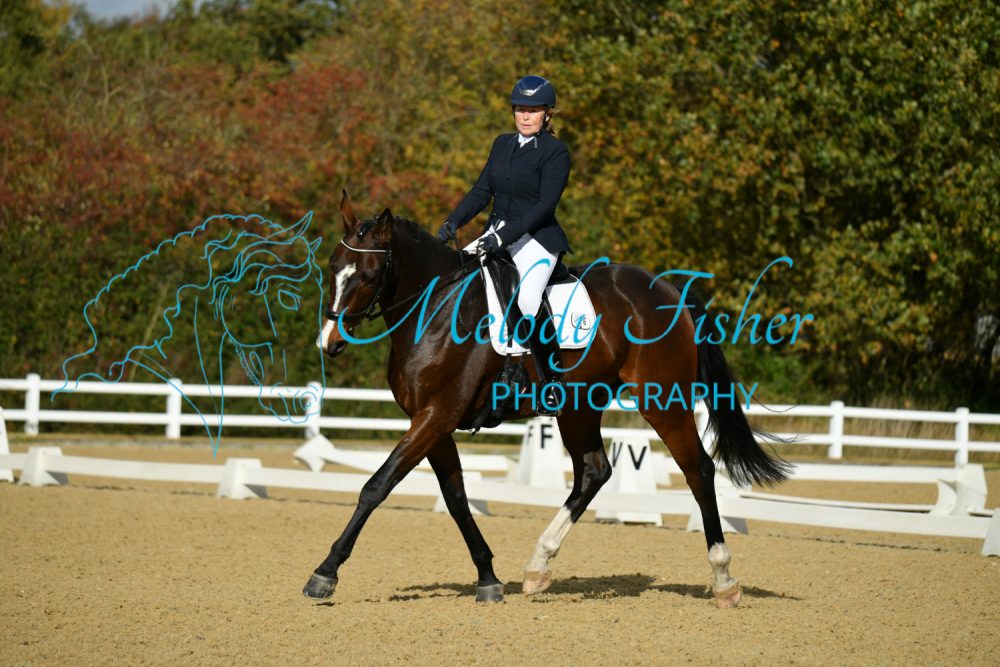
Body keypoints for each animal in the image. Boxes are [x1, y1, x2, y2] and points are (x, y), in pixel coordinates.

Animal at [307, 192, 790, 607]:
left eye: (369, 275)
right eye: (333, 266)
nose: (329, 343)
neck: (436, 310)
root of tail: (668, 290)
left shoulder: (435, 416)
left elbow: (376, 486)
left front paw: (325, 573)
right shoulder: (434, 423)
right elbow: (456, 498)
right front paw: (488, 578)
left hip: (663, 401)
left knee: (698, 470)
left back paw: (724, 580)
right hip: (579, 405)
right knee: (594, 472)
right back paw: (538, 566)